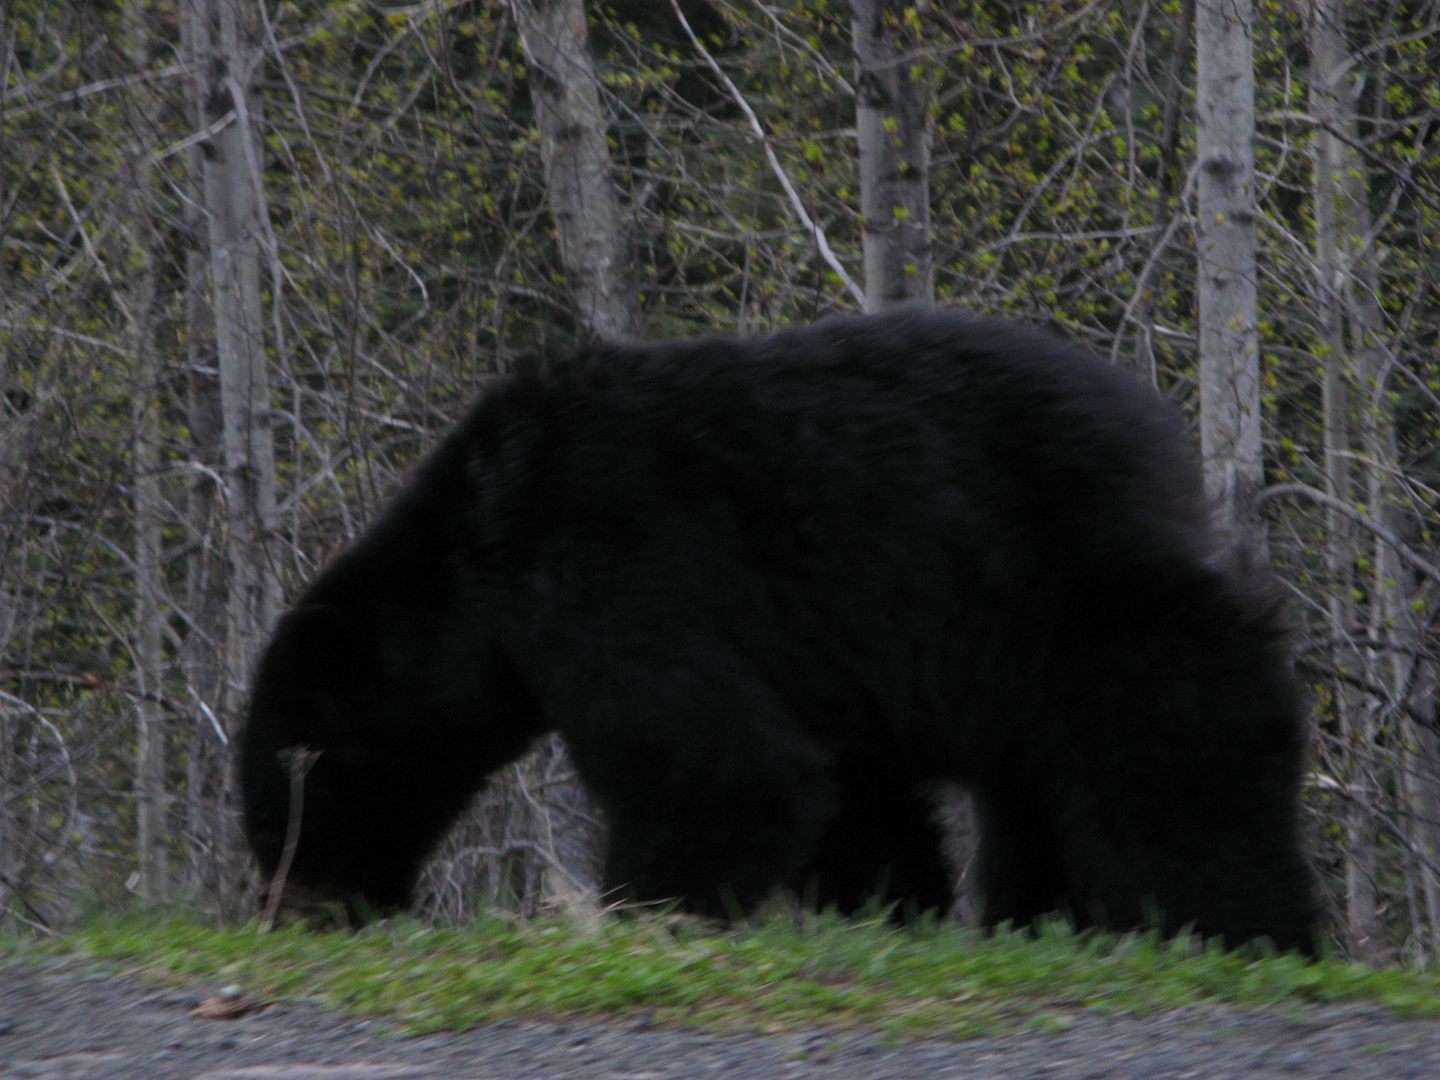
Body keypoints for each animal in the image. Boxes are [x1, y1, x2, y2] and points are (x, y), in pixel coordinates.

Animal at [241, 306, 1319, 956]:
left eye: (286, 798)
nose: (292, 906)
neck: (486, 548)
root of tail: (1168, 449)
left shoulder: (618, 570)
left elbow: (717, 765)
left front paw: (647, 914)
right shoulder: (816, 670)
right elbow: (853, 799)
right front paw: (892, 911)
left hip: (1086, 608)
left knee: (1182, 773)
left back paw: (1256, 928)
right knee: (1039, 806)